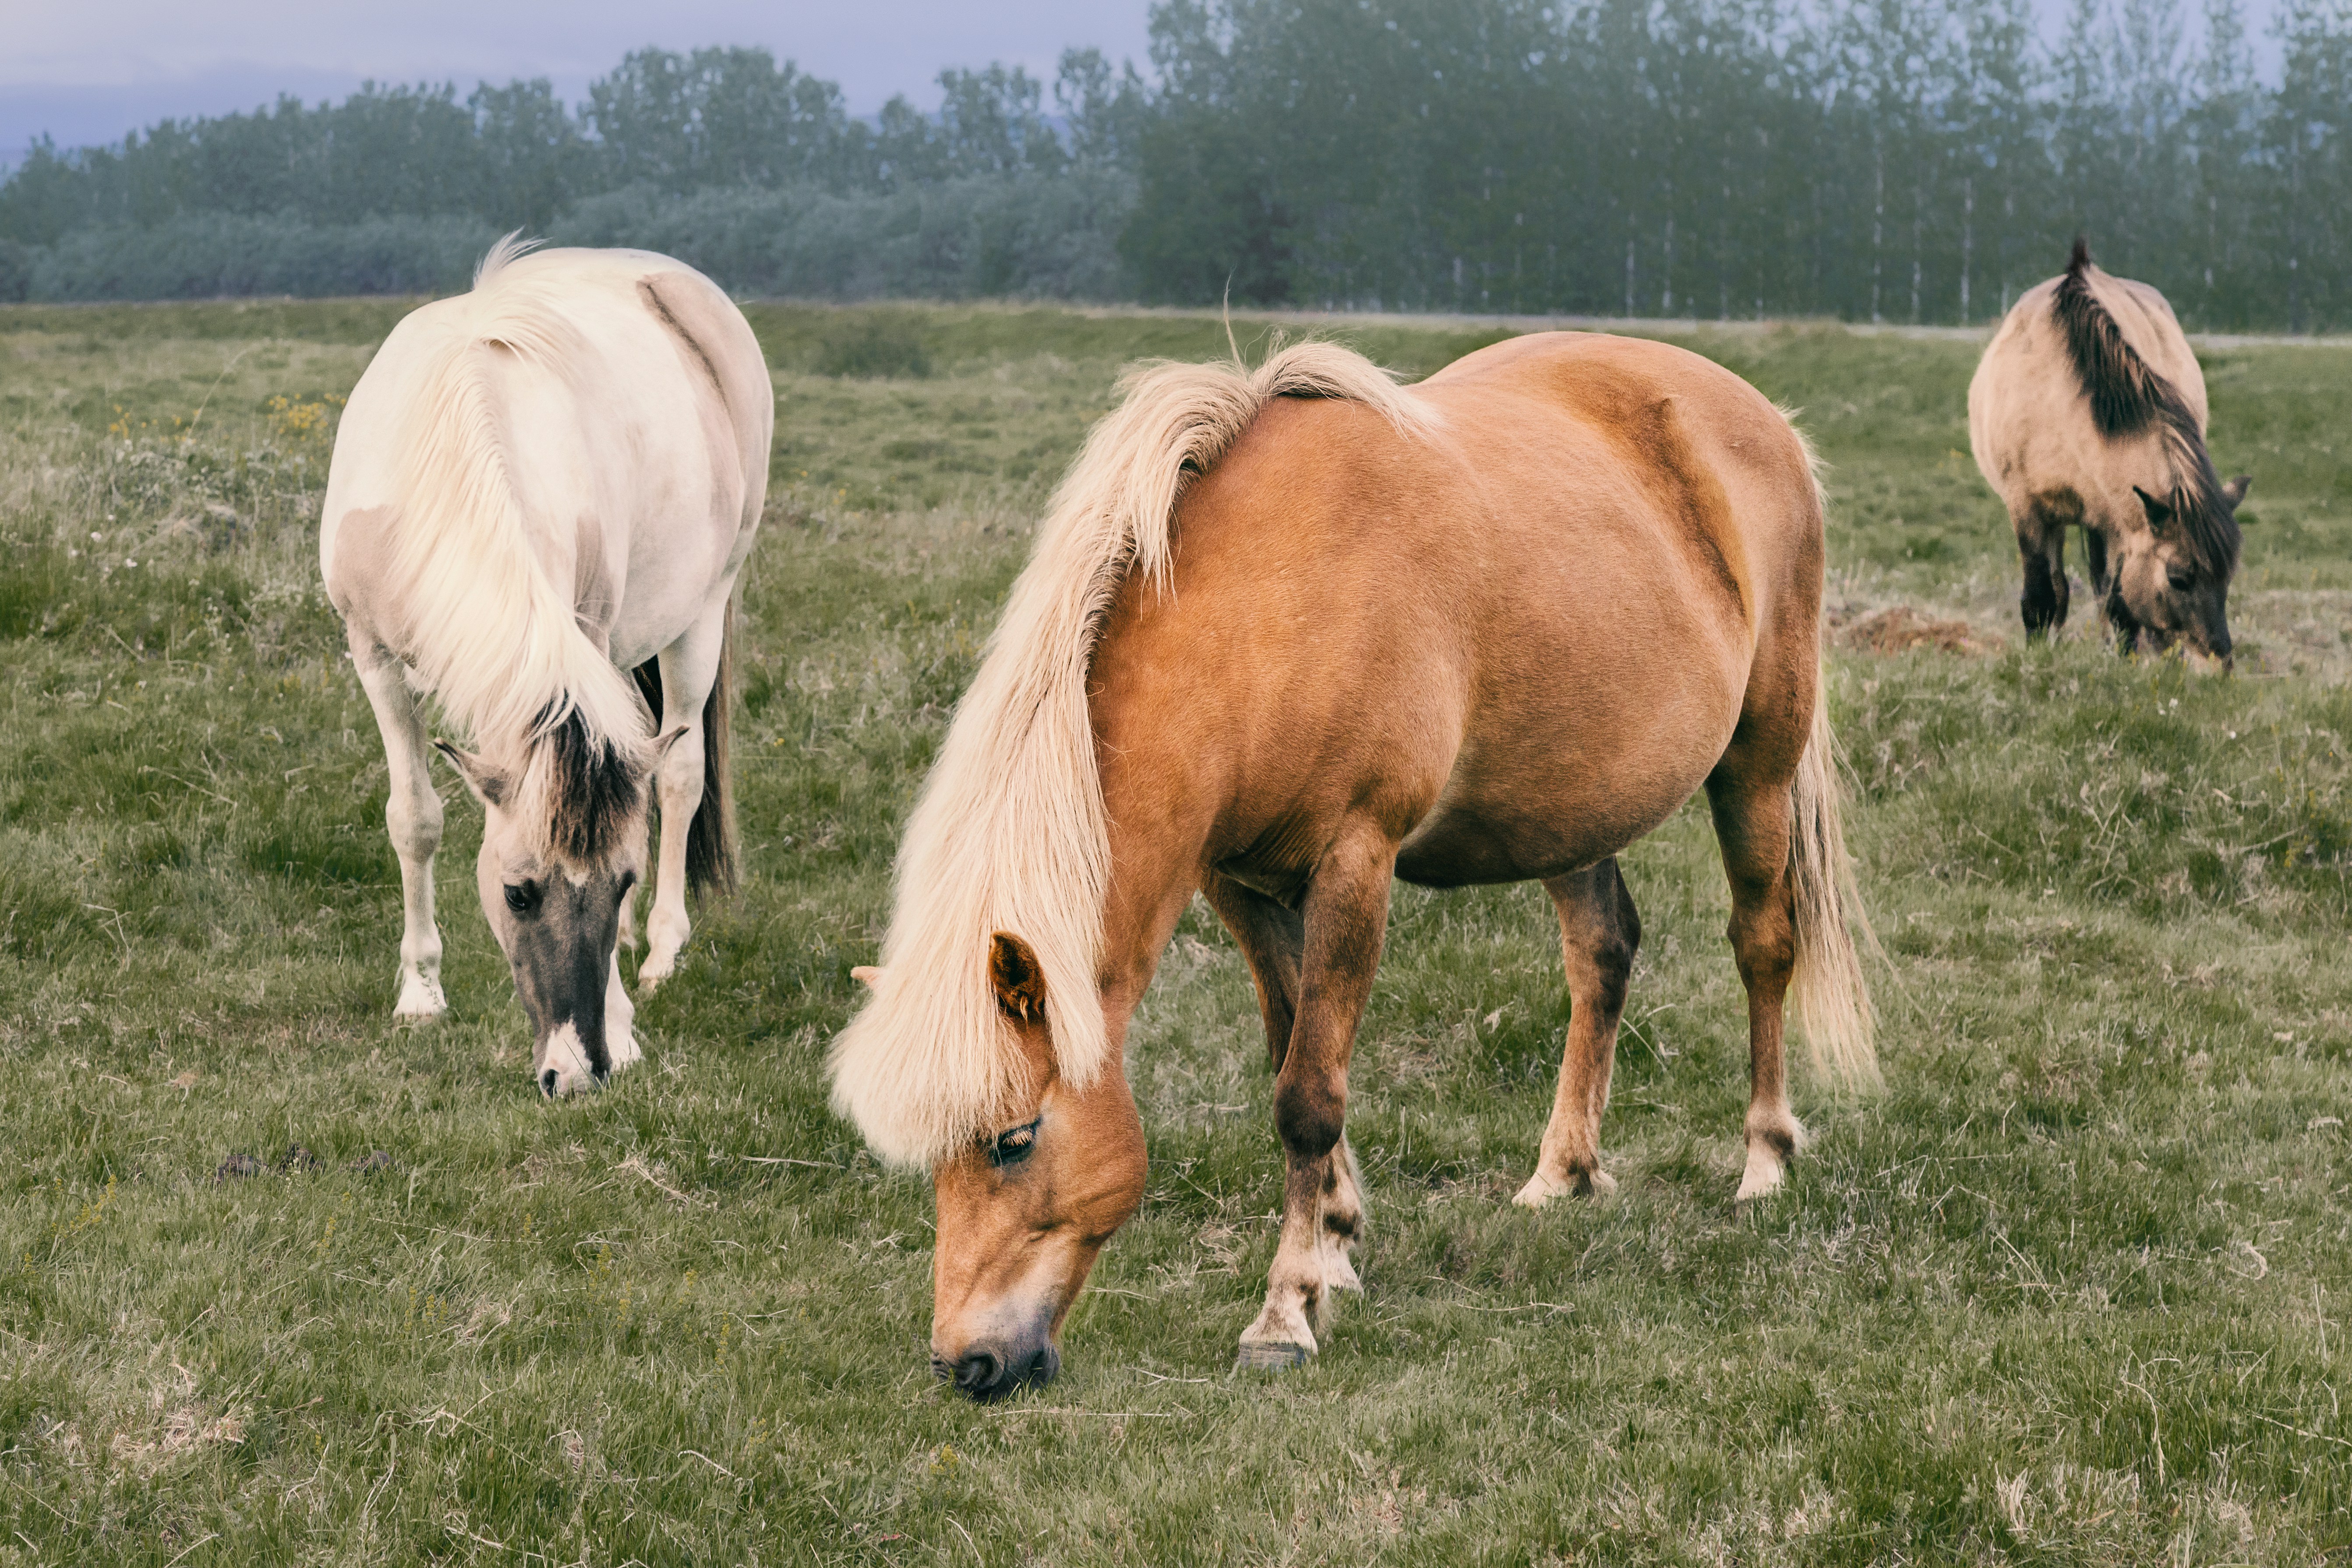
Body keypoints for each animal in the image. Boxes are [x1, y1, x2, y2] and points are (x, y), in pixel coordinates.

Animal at [313, 245, 766, 1100]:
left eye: (620, 882)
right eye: (517, 893)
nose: (575, 1072)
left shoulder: (583, 637)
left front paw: (621, 1025)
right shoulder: (373, 657)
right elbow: (413, 819)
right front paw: (420, 993)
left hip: (704, 609)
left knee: (679, 776)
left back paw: (661, 949)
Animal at [828, 331, 1872, 1401]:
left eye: (1014, 1139)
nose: (969, 1362)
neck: (1263, 608)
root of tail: (1760, 417)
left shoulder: (1353, 863)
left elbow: (1307, 1097)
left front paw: (1285, 1312)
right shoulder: (1241, 884)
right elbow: (1292, 1045)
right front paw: (1333, 1247)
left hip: (1760, 760)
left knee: (1763, 943)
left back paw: (1765, 1160)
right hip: (1569, 806)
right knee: (1602, 954)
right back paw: (1563, 1173)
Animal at [1966, 240, 2239, 663]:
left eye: (2228, 576)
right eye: (2179, 578)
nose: (2219, 661)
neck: (2060, 401)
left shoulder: (2120, 520)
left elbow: (2120, 606)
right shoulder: (2027, 508)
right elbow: (2041, 600)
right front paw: (2038, 658)